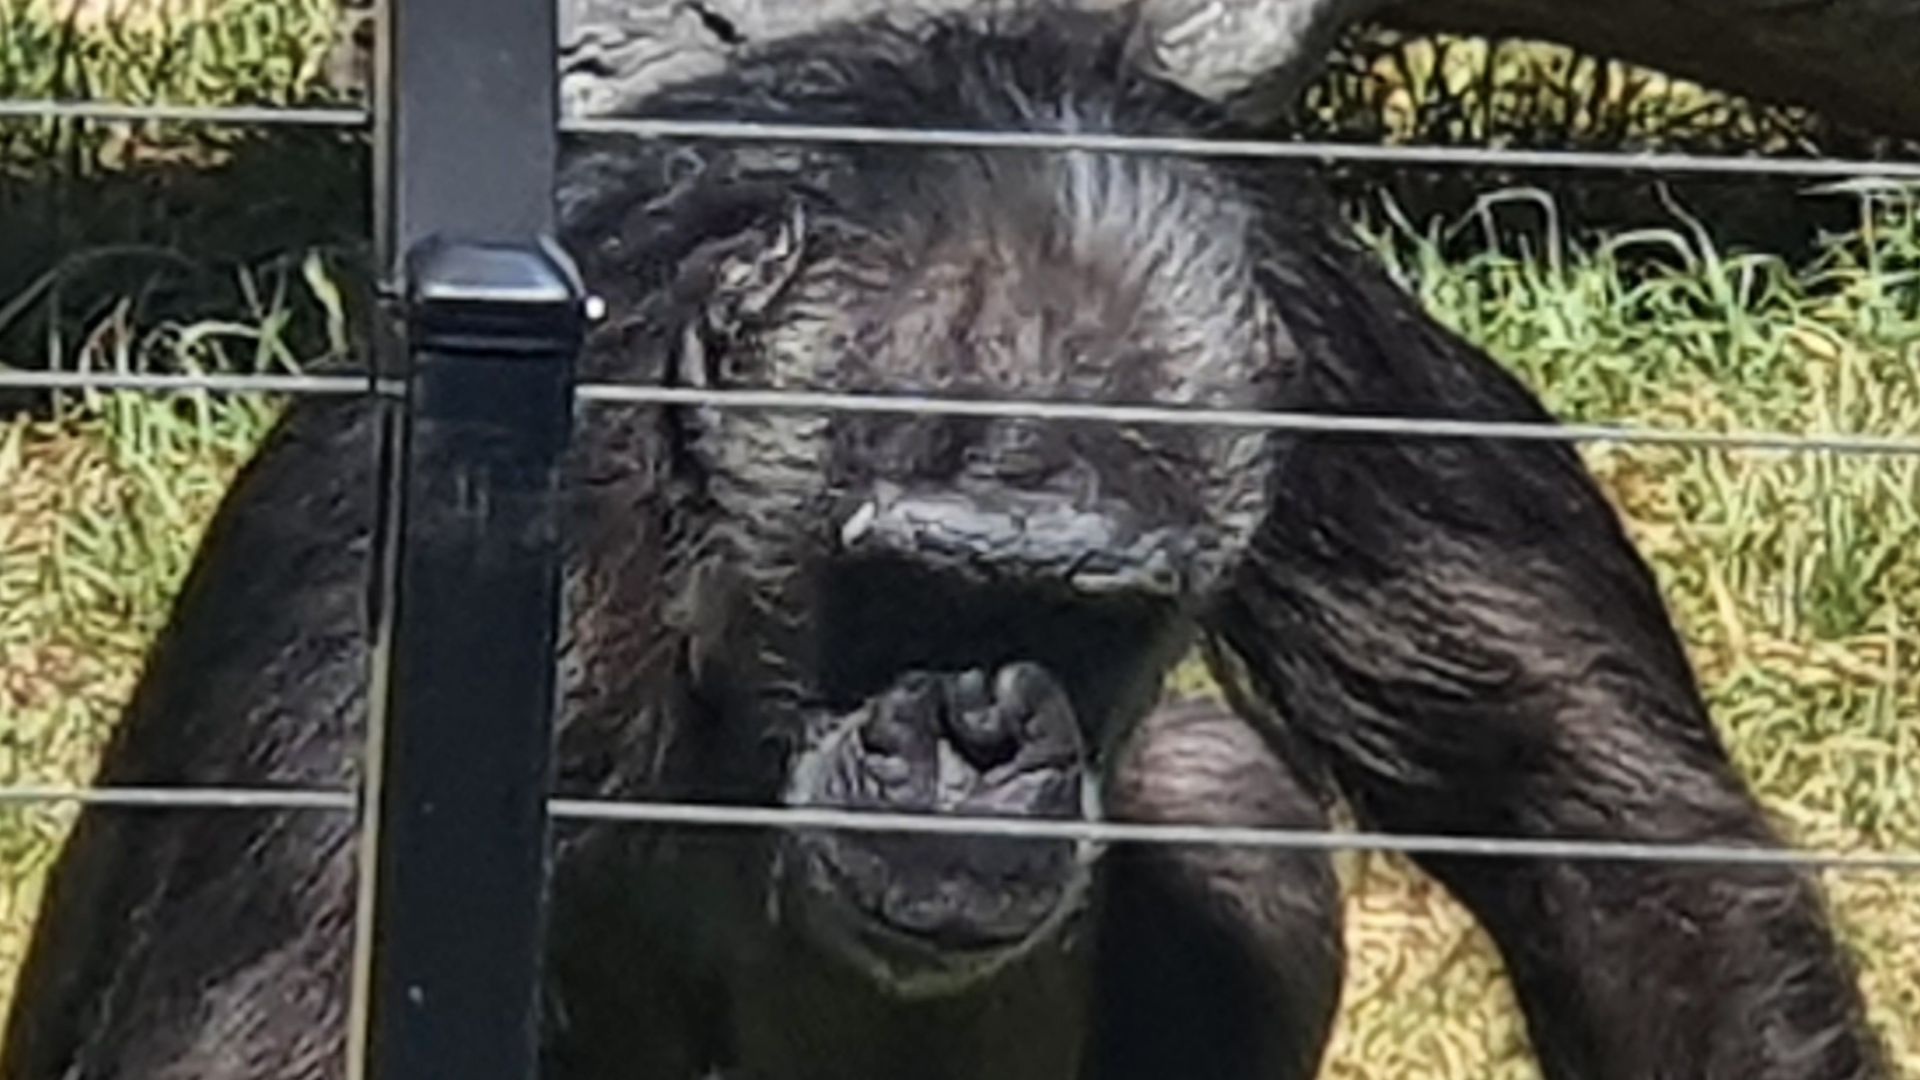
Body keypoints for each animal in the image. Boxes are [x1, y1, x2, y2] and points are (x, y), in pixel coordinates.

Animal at [0, 8, 1886, 1080]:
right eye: (900, 582)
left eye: (1091, 612)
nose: (976, 732)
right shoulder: (456, 571)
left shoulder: (1331, 355)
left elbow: (1607, 834)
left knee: (1222, 801)